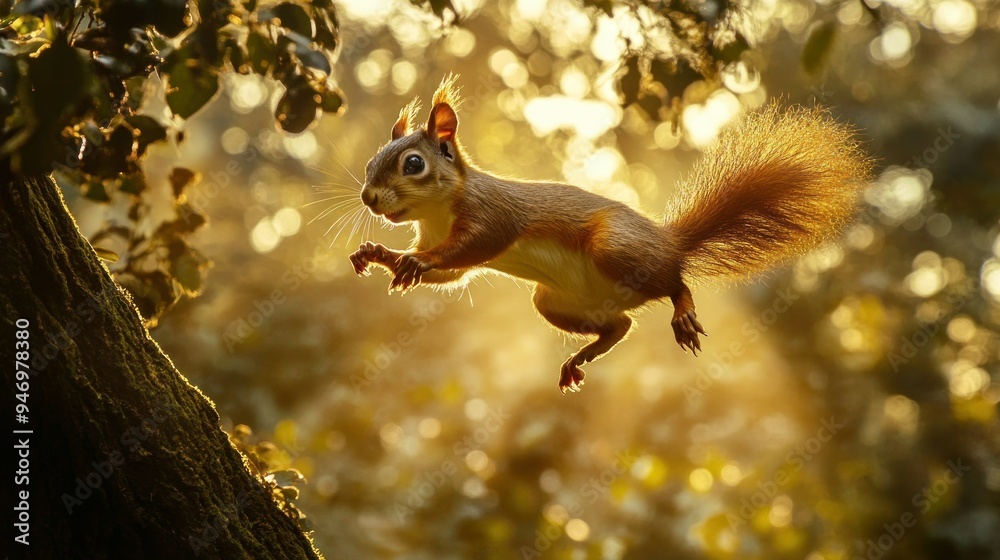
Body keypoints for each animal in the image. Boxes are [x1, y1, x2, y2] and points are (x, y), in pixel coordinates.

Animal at [348, 74, 872, 396]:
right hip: (555, 302)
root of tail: (668, 242)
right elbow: (454, 274)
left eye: (413, 164)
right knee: (619, 325)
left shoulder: (490, 215)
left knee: (675, 282)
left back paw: (682, 310)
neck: (435, 212)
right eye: (373, 159)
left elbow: (470, 248)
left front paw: (416, 262)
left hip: (615, 248)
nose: (368, 198)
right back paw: (583, 355)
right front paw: (380, 254)